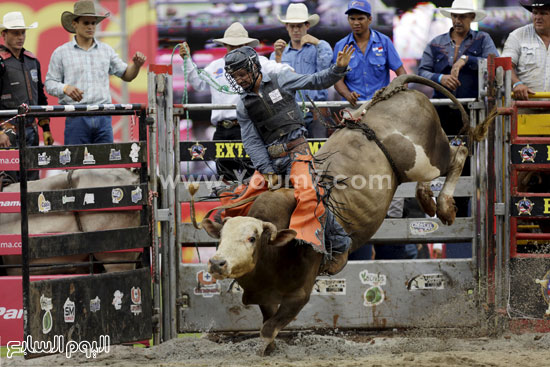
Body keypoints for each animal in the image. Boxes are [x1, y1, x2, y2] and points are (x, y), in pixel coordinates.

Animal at [191, 75, 496, 356]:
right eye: (220, 238)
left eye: (252, 238)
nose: (217, 263)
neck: (277, 248)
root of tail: (395, 88)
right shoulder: (264, 295)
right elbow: (267, 323)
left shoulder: (299, 295)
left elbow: (269, 328)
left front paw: (263, 348)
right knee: (437, 171)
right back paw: (426, 200)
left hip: (427, 157)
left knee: (459, 153)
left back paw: (444, 206)